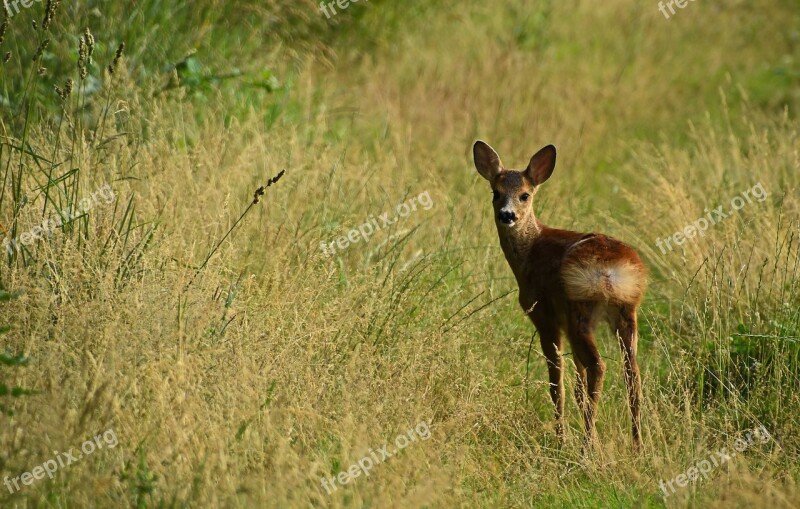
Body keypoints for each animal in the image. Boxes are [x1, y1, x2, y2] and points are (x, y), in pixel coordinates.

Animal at [472, 141, 648, 446]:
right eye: (496, 192)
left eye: (525, 195)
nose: (507, 215)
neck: (531, 251)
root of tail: (611, 270)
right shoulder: (563, 324)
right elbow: (577, 386)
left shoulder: (545, 317)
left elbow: (557, 382)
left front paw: (561, 439)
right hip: (625, 313)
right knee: (631, 372)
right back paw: (637, 445)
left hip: (580, 310)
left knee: (599, 365)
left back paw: (588, 443)